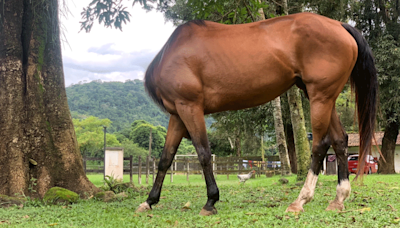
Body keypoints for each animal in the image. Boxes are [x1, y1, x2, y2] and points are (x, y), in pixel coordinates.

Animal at [136, 12, 376, 216]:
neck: (173, 54)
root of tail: (339, 25)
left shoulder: (190, 107)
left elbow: (203, 153)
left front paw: (211, 201)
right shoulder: (177, 113)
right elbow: (165, 158)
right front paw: (149, 201)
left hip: (320, 97)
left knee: (320, 144)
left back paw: (300, 200)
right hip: (323, 97)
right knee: (339, 140)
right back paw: (339, 198)